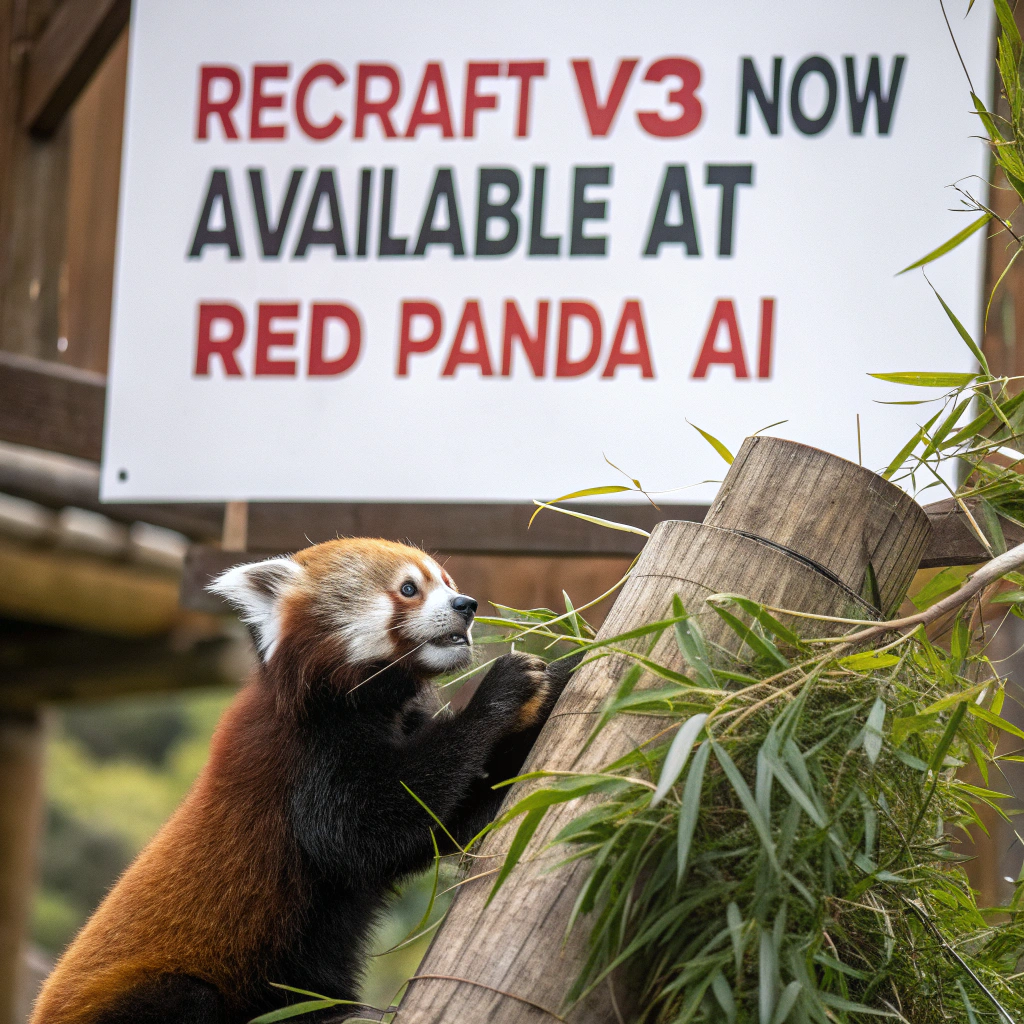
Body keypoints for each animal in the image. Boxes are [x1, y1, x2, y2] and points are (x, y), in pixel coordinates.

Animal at [31, 538, 576, 1024]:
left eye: (449, 583)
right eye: (409, 589)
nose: (467, 605)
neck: (350, 702)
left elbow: (442, 821)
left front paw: (563, 670)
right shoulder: (305, 759)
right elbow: (366, 828)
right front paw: (501, 689)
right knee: (189, 999)